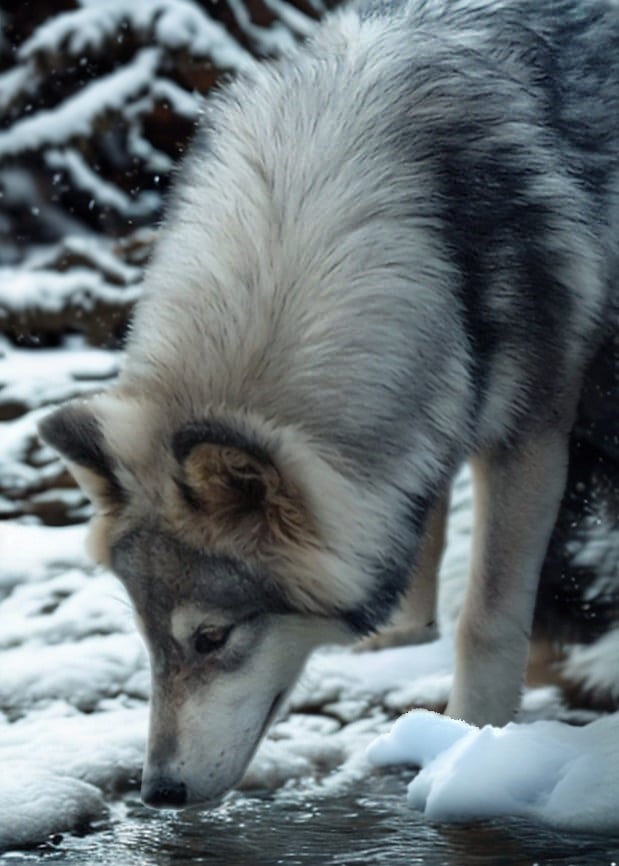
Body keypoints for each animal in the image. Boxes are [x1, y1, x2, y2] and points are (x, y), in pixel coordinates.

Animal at [39, 0, 618, 810]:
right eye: (149, 642)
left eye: (211, 639)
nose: (158, 793)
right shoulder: (438, 397)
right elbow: (422, 514)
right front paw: (402, 629)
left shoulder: (528, 437)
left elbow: (486, 620)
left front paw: (466, 742)